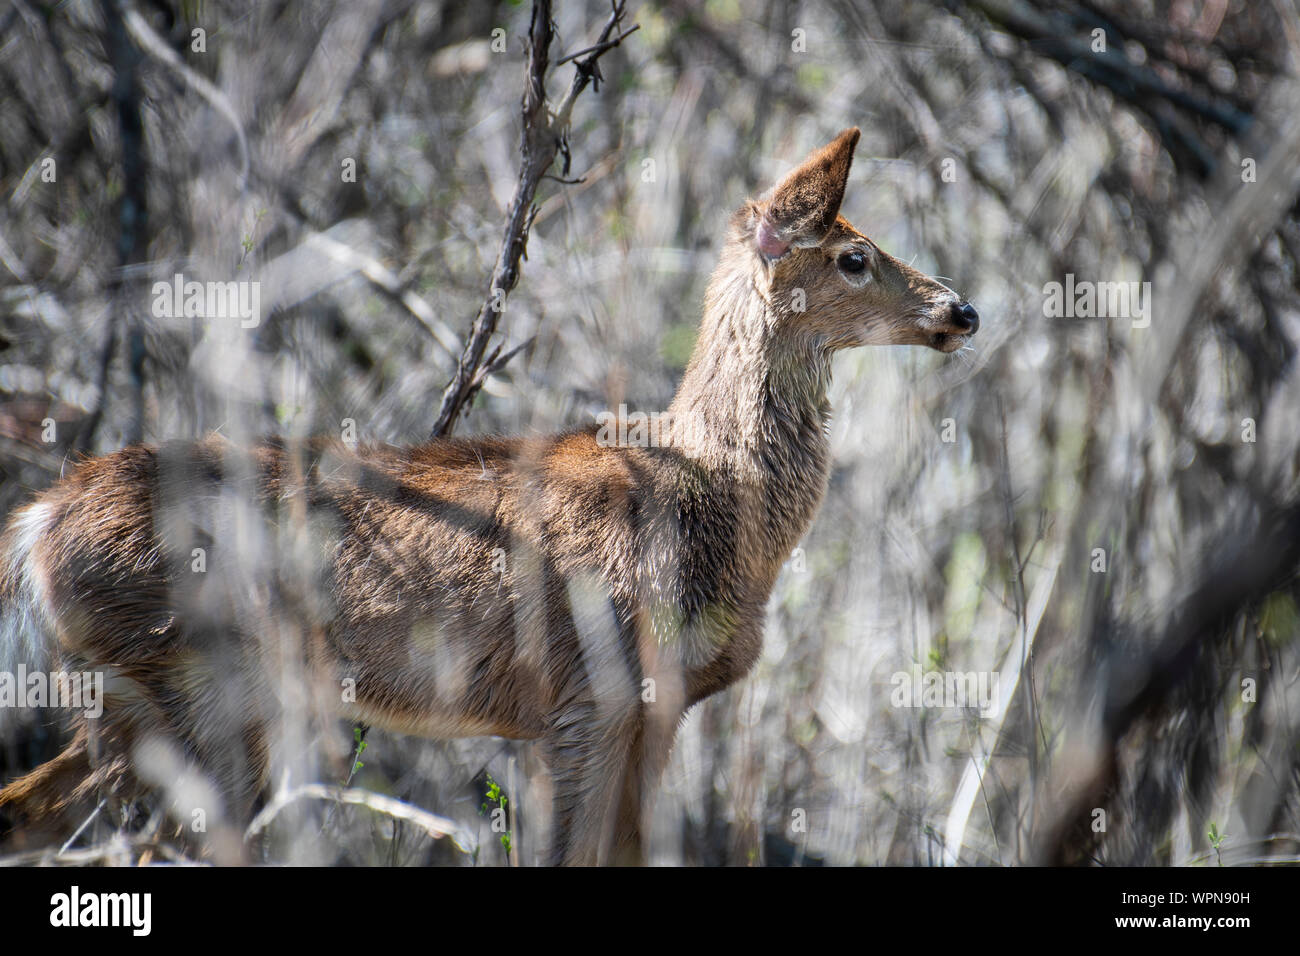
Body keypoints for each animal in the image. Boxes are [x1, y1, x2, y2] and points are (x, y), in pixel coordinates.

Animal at [0, 127, 977, 868]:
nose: (961, 310)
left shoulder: (657, 708)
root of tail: (36, 525)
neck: (715, 495)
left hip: (132, 698)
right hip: (195, 685)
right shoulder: (591, 693)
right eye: (854, 257)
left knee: (34, 812)